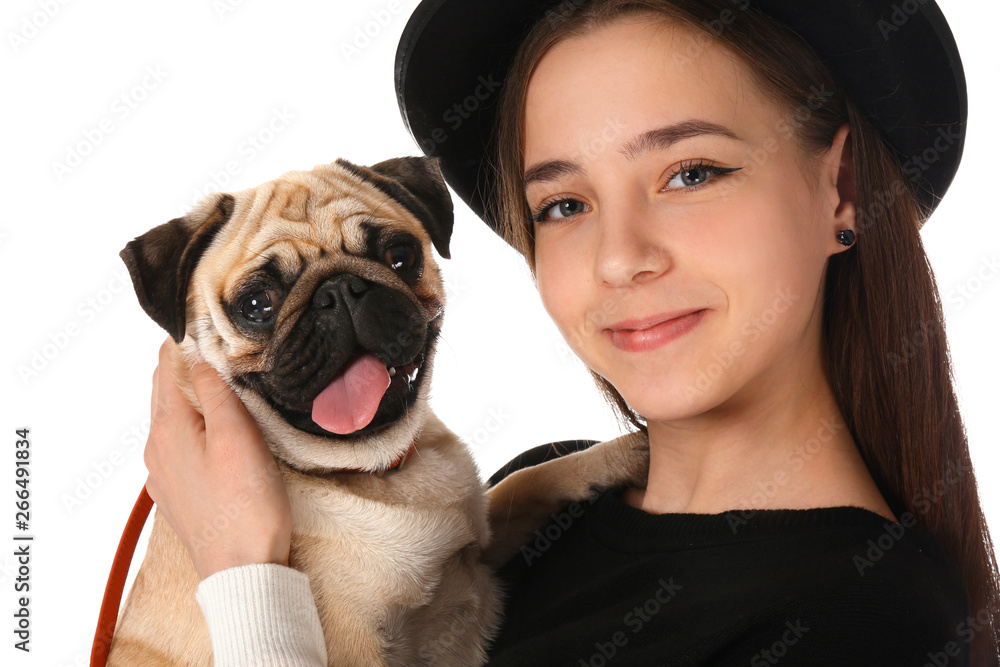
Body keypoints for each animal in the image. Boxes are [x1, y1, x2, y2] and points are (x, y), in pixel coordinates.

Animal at [103, 158, 648, 667]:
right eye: (257, 304)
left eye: (400, 257)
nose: (338, 292)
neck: (378, 472)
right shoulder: (356, 647)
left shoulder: (480, 546)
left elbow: (529, 479)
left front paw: (624, 453)